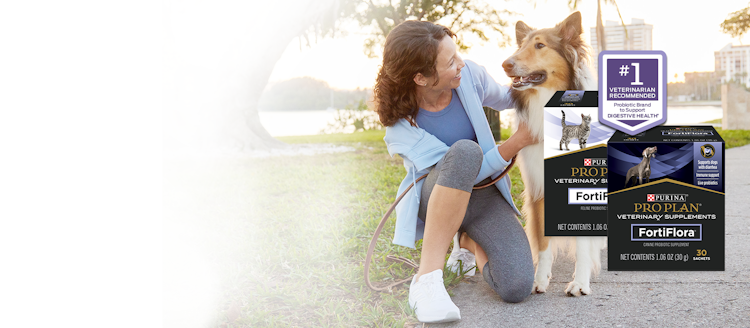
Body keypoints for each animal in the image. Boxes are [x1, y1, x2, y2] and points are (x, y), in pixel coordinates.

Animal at [502, 10, 608, 298]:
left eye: (540, 45)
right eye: (521, 46)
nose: (505, 64)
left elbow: (583, 245)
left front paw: (580, 282)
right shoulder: (539, 189)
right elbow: (543, 242)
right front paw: (539, 279)